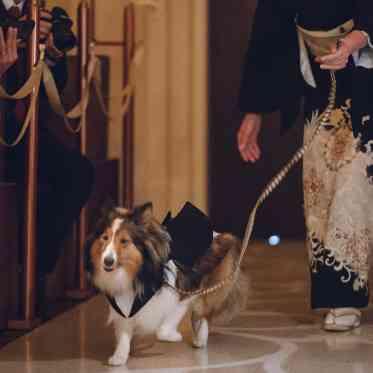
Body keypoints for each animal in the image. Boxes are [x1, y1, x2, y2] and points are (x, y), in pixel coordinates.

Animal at [85, 202, 248, 364]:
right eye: (105, 238)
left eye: (124, 241)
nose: (107, 261)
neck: (138, 273)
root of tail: (219, 234)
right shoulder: (124, 305)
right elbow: (124, 332)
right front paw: (119, 357)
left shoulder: (183, 292)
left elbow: (163, 329)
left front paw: (173, 336)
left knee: (203, 310)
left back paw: (200, 338)